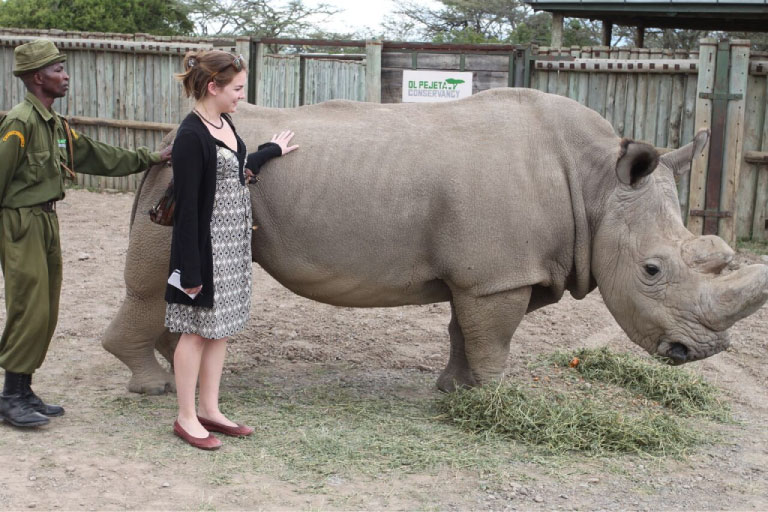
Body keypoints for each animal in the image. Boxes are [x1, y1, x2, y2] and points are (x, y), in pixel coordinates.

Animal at [102, 88, 768, 394]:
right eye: (652, 270)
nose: (701, 351)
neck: (598, 184)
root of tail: (166, 136)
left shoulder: (489, 272)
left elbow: (463, 330)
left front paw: (458, 390)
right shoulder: (497, 274)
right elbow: (493, 337)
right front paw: (500, 400)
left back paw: (173, 369)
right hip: (182, 185)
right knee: (156, 284)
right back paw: (155, 386)